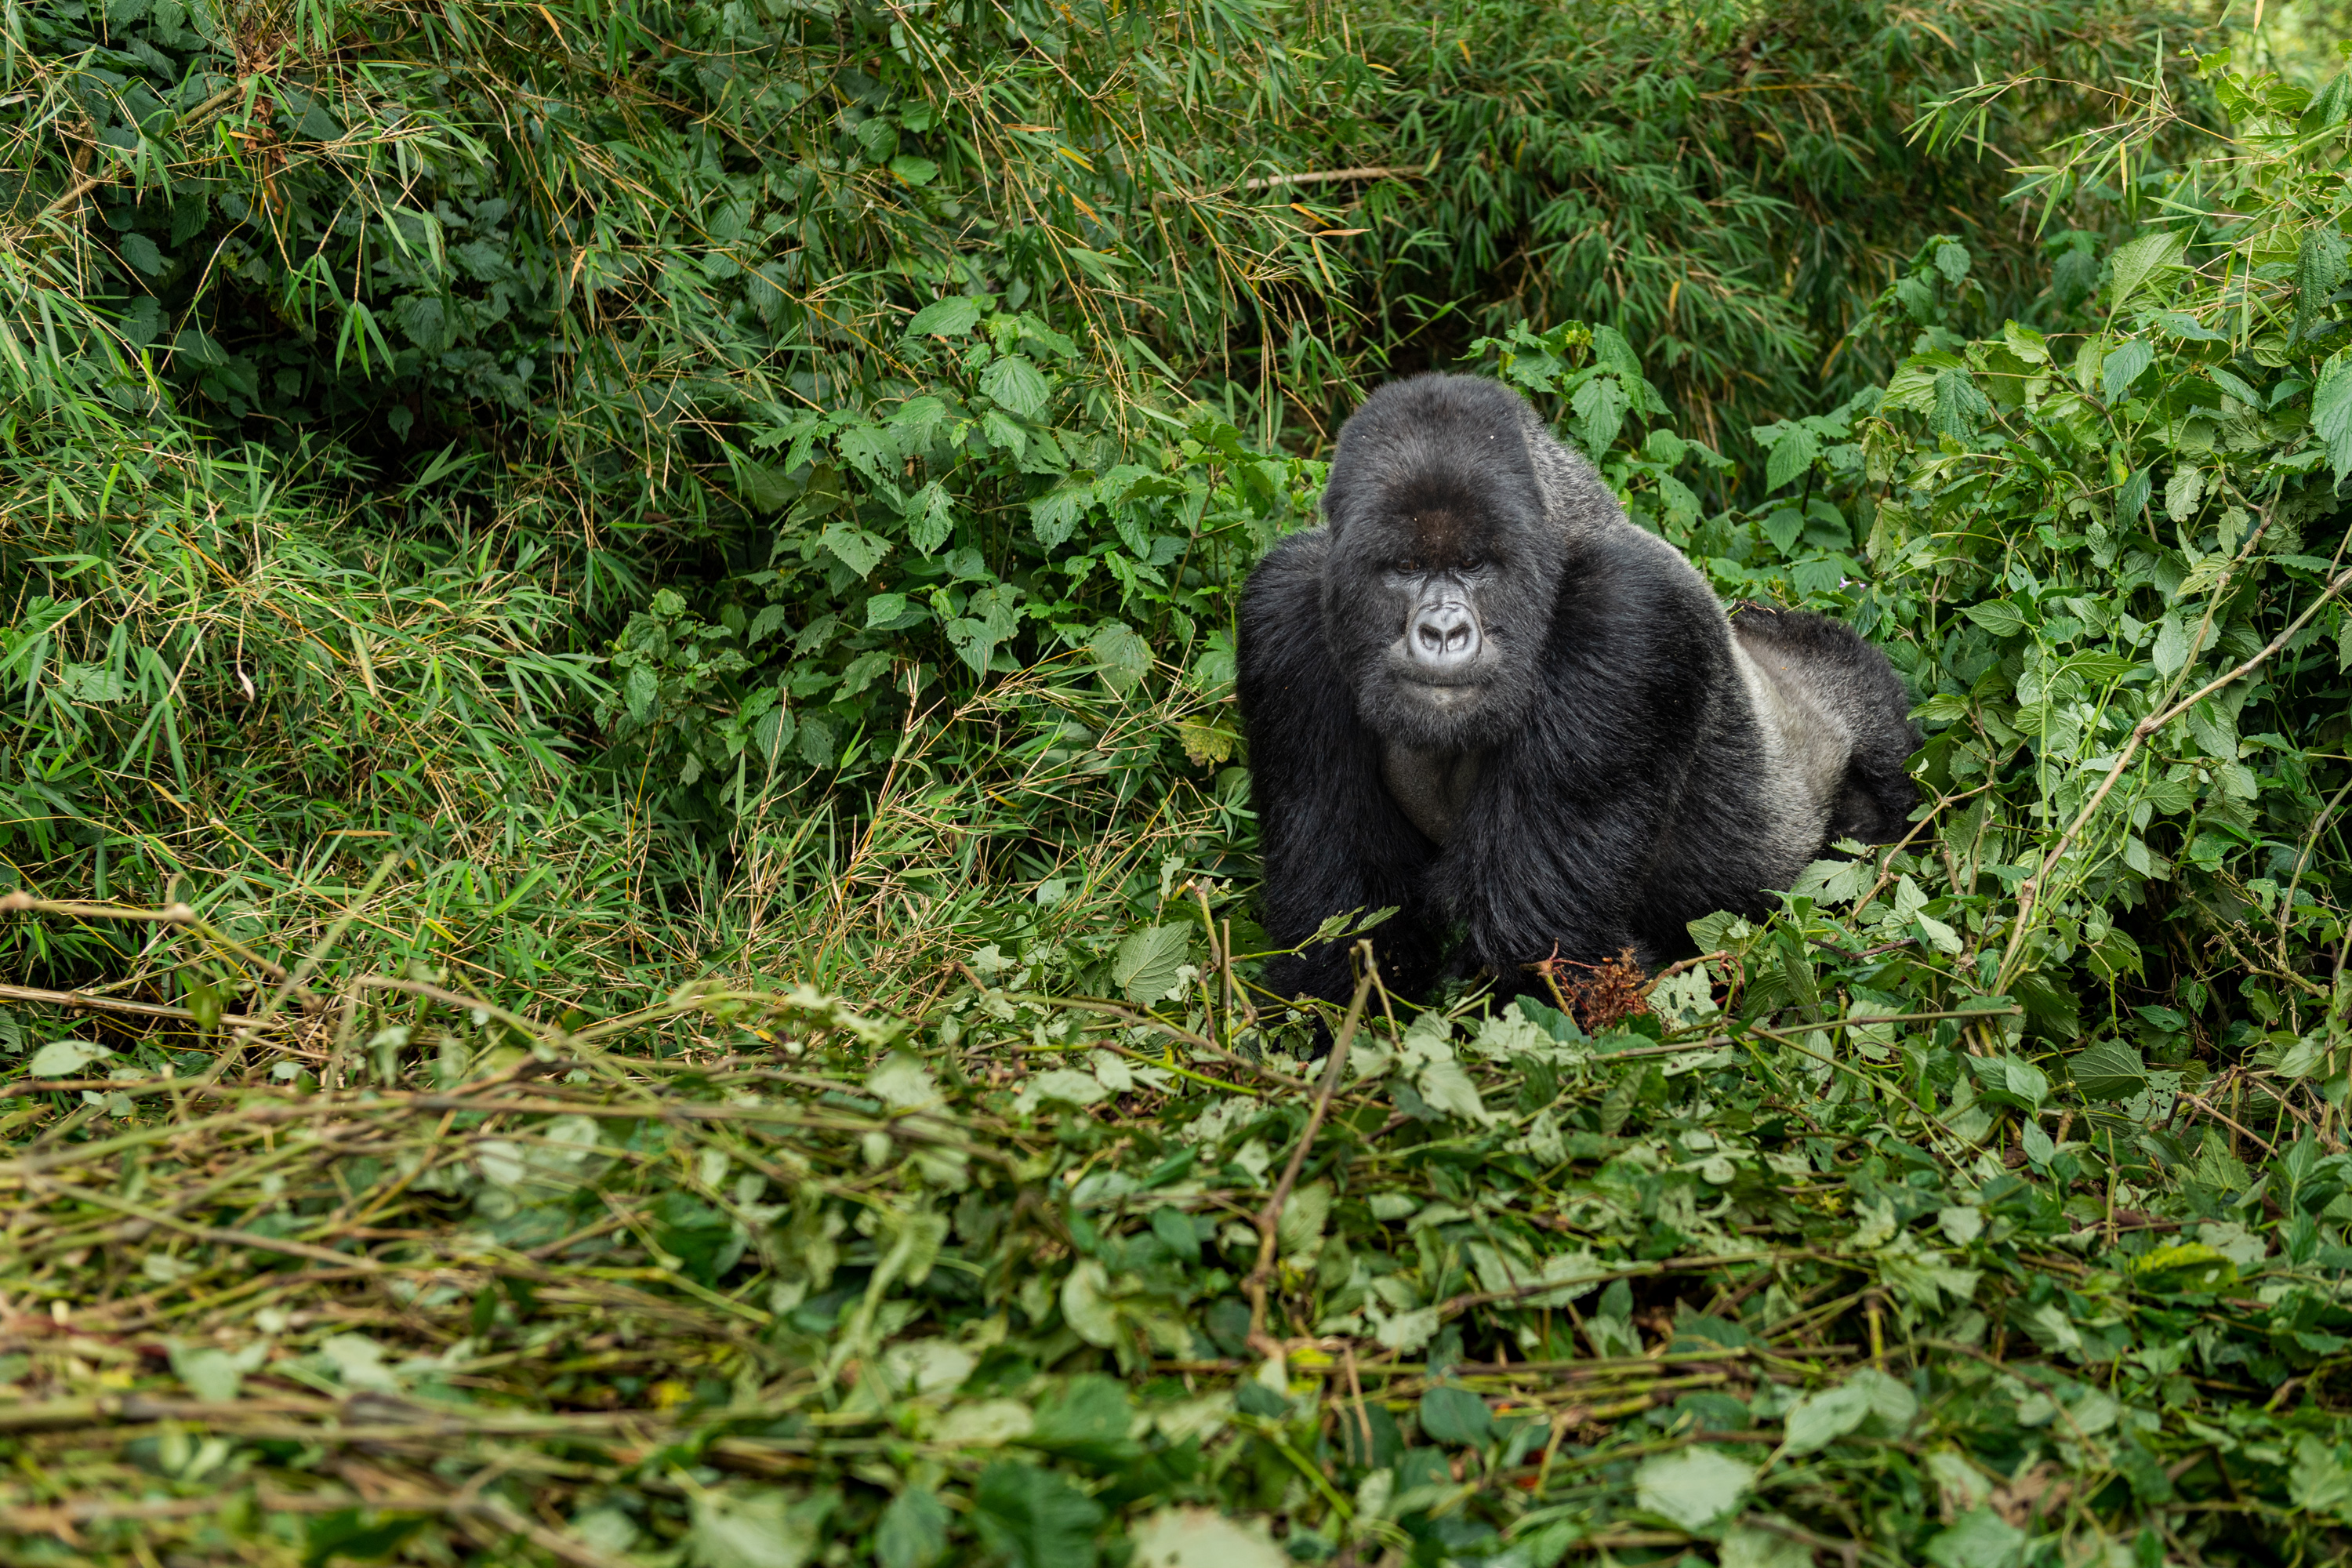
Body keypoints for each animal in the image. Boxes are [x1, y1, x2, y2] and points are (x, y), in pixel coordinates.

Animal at [1242, 373, 1919, 1001]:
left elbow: (1539, 944)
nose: (1443, 631)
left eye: (1474, 564)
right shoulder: (1283, 614)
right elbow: (1343, 928)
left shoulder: (1631, 618)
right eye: (1406, 567)